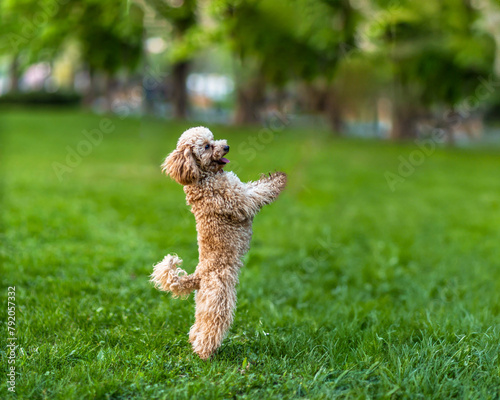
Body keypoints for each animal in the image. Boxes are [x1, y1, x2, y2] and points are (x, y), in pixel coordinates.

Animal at [150, 126, 288, 360]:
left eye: (213, 139)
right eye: (206, 146)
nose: (226, 147)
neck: (203, 177)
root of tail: (197, 277)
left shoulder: (240, 189)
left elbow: (255, 185)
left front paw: (273, 176)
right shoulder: (239, 200)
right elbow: (259, 192)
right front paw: (278, 181)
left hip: (203, 302)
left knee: (197, 327)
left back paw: (195, 344)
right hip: (219, 299)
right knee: (211, 327)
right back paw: (205, 354)